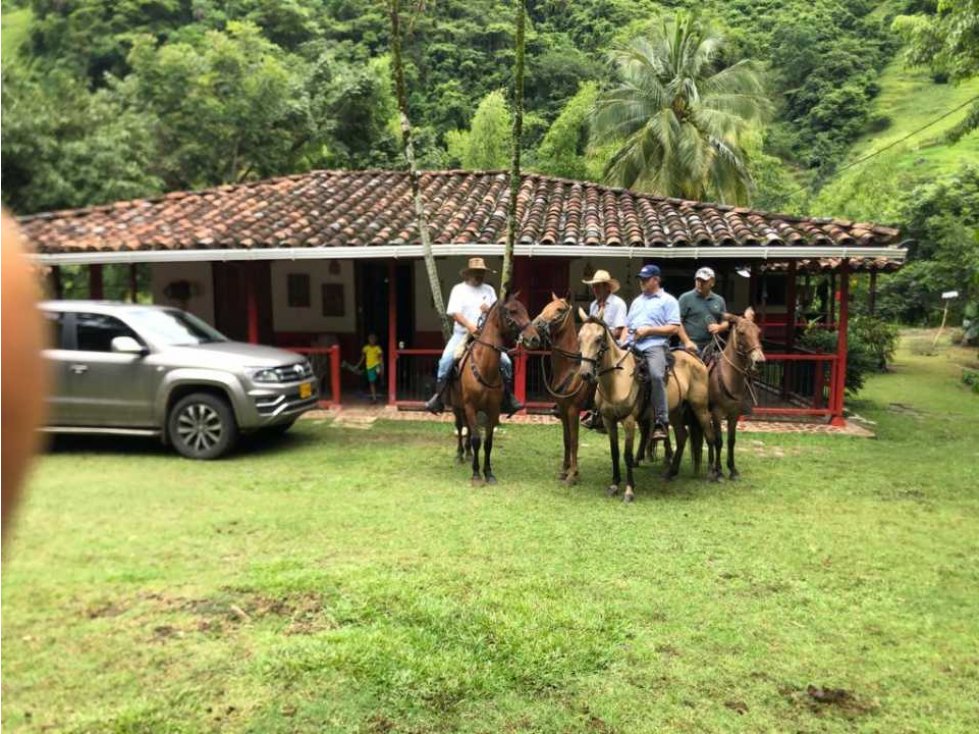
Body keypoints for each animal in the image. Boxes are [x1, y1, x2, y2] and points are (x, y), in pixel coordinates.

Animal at [446, 294, 540, 488]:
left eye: (525, 310)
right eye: (512, 311)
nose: (534, 339)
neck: (484, 367)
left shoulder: (493, 409)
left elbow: (488, 442)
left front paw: (488, 473)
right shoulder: (470, 406)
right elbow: (476, 439)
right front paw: (476, 474)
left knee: (468, 428)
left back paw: (468, 454)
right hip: (458, 405)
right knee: (460, 426)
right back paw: (460, 454)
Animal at [532, 296, 592, 486]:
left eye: (559, 310)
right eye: (546, 306)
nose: (536, 324)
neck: (569, 369)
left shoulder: (573, 410)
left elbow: (574, 441)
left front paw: (573, 474)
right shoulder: (564, 410)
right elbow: (566, 440)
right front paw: (565, 470)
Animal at [576, 308, 720, 504]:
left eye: (599, 339)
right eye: (580, 338)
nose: (585, 374)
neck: (617, 380)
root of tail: (697, 359)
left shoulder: (629, 422)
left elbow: (627, 455)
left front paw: (629, 491)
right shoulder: (609, 421)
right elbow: (615, 453)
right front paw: (614, 485)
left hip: (700, 407)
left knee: (709, 435)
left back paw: (712, 473)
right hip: (674, 411)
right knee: (682, 436)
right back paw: (671, 472)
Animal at [704, 306, 764, 484]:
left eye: (758, 332)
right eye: (742, 332)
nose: (759, 361)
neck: (729, 378)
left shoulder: (734, 414)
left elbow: (731, 441)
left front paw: (732, 469)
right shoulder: (717, 413)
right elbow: (719, 441)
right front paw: (719, 472)